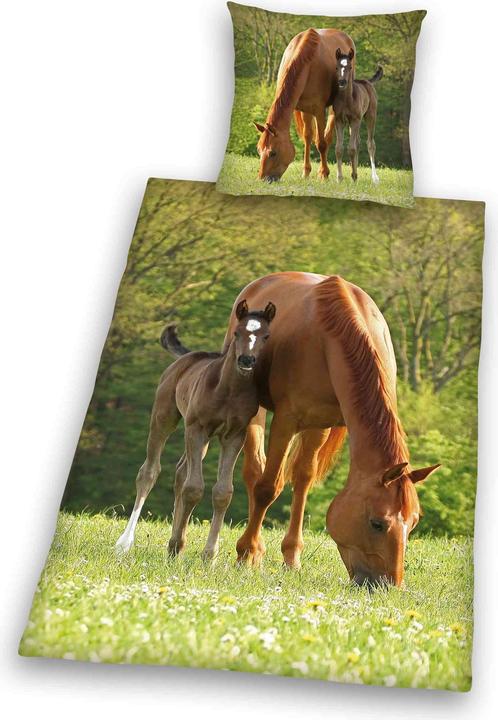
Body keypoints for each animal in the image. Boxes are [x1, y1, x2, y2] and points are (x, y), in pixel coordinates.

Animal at [115, 299, 276, 561]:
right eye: (237, 332)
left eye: (266, 336)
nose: (246, 361)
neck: (229, 391)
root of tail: (188, 356)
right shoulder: (197, 428)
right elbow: (193, 488)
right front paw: (182, 546)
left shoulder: (234, 436)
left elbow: (222, 492)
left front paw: (209, 555)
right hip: (165, 417)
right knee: (149, 472)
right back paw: (125, 542)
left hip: (204, 438)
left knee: (180, 472)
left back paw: (173, 543)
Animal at [222, 273, 440, 587]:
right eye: (377, 523)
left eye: (413, 523)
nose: (388, 586)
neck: (333, 338)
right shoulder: (286, 420)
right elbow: (267, 487)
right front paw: (246, 554)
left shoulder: (320, 422)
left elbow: (303, 480)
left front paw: (292, 558)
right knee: (255, 472)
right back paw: (253, 549)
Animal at [254, 28, 355, 182]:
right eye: (259, 150)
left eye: (273, 153)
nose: (263, 179)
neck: (306, 62)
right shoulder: (305, 109)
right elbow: (307, 137)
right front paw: (306, 172)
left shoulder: (318, 110)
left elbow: (321, 143)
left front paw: (324, 173)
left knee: (328, 135)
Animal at [332, 48, 383, 184]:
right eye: (337, 66)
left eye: (350, 67)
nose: (342, 82)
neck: (346, 100)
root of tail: (367, 81)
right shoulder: (339, 121)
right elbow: (339, 148)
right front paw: (340, 178)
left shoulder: (355, 120)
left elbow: (351, 148)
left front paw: (354, 176)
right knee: (358, 142)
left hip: (370, 116)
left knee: (370, 144)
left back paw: (374, 178)